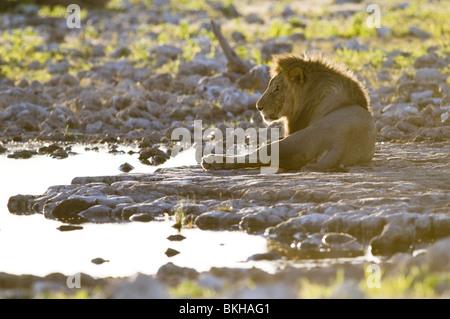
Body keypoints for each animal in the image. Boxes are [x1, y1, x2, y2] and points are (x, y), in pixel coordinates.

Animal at [200, 52, 376, 172]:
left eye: (277, 88)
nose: (258, 106)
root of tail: (339, 143)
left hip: (294, 141)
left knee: (258, 154)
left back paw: (212, 160)